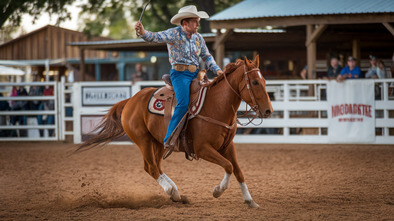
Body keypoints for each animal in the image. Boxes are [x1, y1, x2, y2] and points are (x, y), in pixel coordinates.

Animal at [78, 56, 272, 208]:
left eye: (264, 81)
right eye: (255, 82)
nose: (268, 111)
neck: (216, 106)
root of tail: (130, 101)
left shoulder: (227, 146)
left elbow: (238, 170)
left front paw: (250, 200)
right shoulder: (202, 149)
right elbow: (229, 166)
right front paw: (217, 191)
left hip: (159, 142)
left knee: (156, 166)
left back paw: (175, 193)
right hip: (143, 140)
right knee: (151, 167)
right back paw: (172, 191)